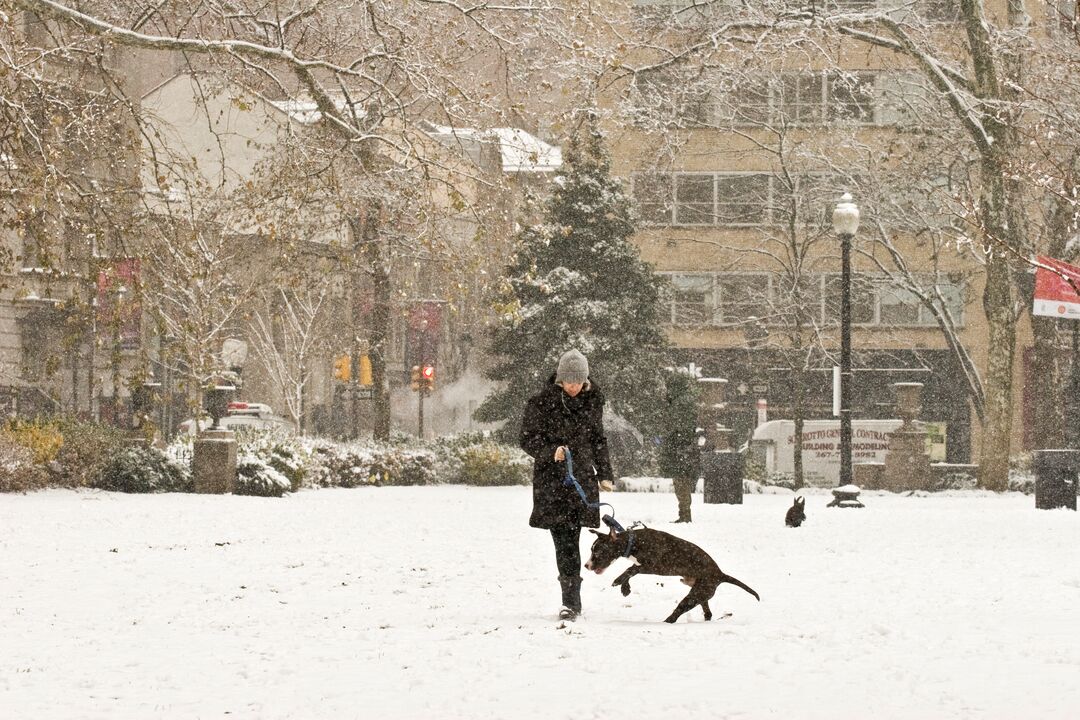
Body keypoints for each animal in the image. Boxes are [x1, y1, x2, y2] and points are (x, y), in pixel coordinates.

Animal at [583, 526, 760, 621]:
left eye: (598, 552)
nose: (586, 565)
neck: (633, 542)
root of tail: (720, 573)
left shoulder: (652, 565)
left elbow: (631, 569)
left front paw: (619, 581)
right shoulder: (641, 564)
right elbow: (631, 570)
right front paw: (625, 588)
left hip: (693, 596)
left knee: (677, 614)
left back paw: (666, 622)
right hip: (700, 593)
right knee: (707, 612)